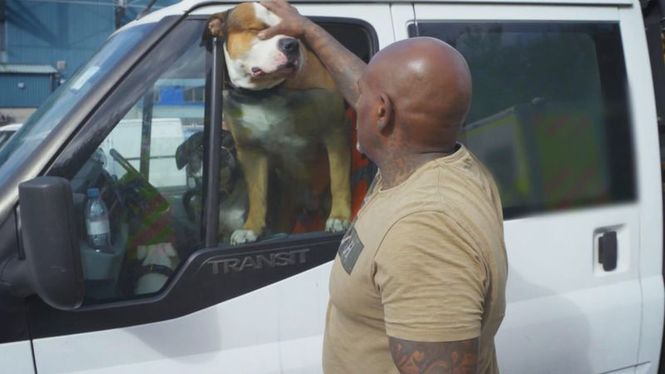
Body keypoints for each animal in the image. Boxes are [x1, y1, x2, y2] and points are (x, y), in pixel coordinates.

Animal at [208, 3, 352, 245]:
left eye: (294, 31)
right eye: (257, 30)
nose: (291, 44)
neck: (266, 93)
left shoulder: (335, 131)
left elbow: (339, 179)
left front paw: (340, 217)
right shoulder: (250, 151)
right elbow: (256, 192)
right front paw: (251, 229)